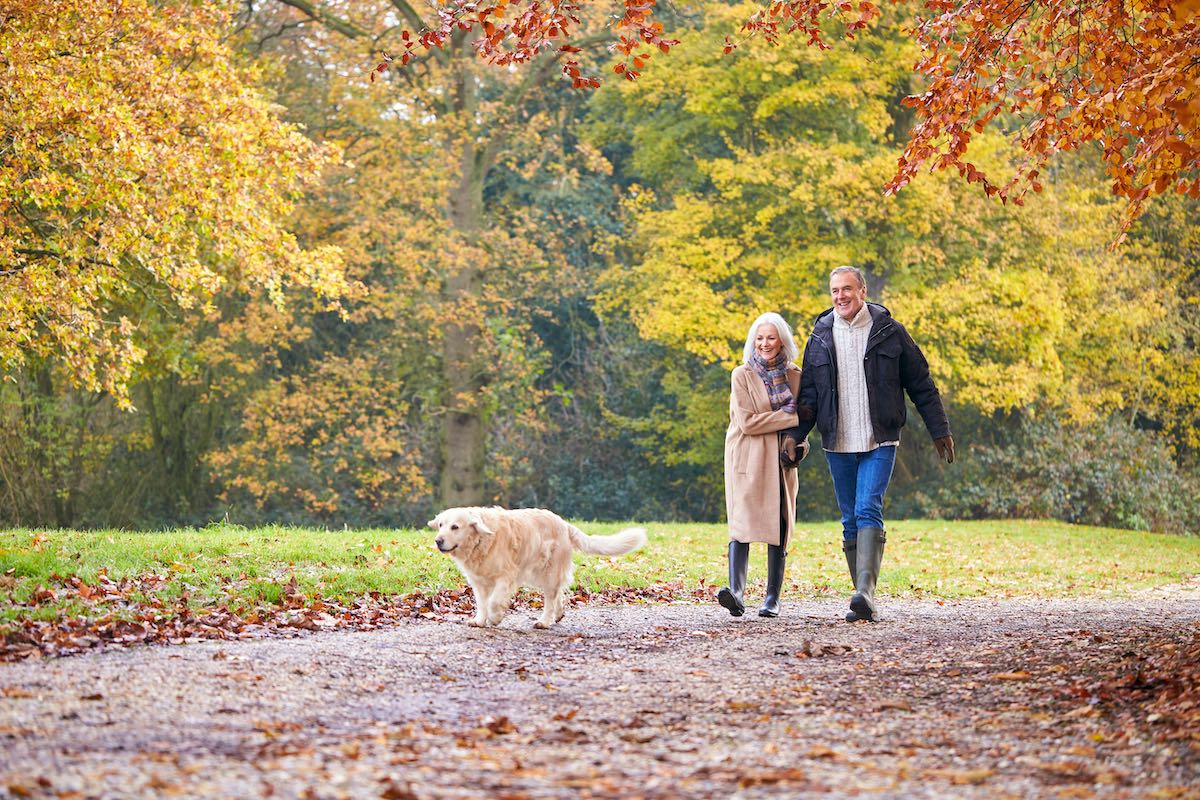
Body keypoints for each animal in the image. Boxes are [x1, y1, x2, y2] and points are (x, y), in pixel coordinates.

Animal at [424, 506, 643, 633]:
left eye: (455, 527)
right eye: (441, 525)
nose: (438, 541)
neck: (481, 541)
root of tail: (564, 524)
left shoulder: (506, 576)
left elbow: (494, 602)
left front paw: (495, 618)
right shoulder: (478, 581)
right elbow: (482, 603)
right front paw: (479, 620)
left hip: (548, 572)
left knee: (551, 598)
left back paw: (544, 621)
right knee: (558, 595)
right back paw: (558, 614)